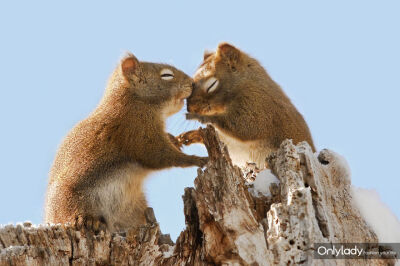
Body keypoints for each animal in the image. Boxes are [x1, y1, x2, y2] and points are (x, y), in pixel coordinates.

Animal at [44, 53, 208, 232]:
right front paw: (196, 159)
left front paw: (174, 139)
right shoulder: (138, 131)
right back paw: (87, 220)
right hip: (71, 200)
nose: (192, 83)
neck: (135, 101)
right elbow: (160, 155)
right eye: (166, 75)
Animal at [179, 43, 316, 168]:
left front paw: (201, 117)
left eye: (211, 85)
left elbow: (245, 127)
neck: (245, 83)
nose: (190, 108)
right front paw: (192, 135)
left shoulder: (259, 106)